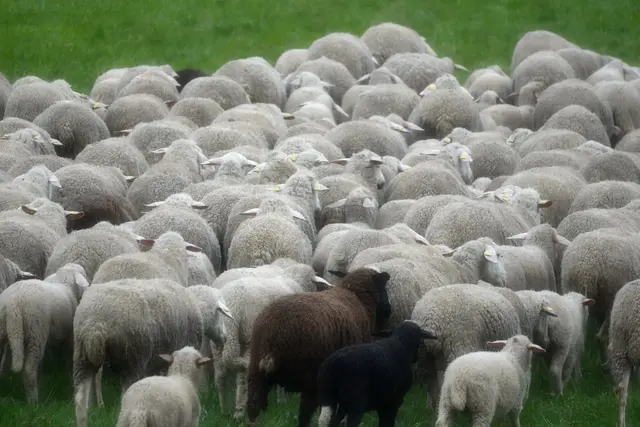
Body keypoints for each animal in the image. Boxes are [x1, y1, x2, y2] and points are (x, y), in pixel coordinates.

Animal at [0, 263, 88, 402]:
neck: (66, 285)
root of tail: (13, 304)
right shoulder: (69, 336)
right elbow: (69, 355)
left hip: (4, 327)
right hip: (36, 330)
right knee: (29, 370)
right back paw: (34, 401)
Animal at [246, 267, 392, 427]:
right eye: (383, 285)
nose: (389, 309)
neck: (358, 298)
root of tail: (273, 337)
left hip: (256, 370)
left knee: (253, 407)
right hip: (310, 376)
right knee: (305, 413)